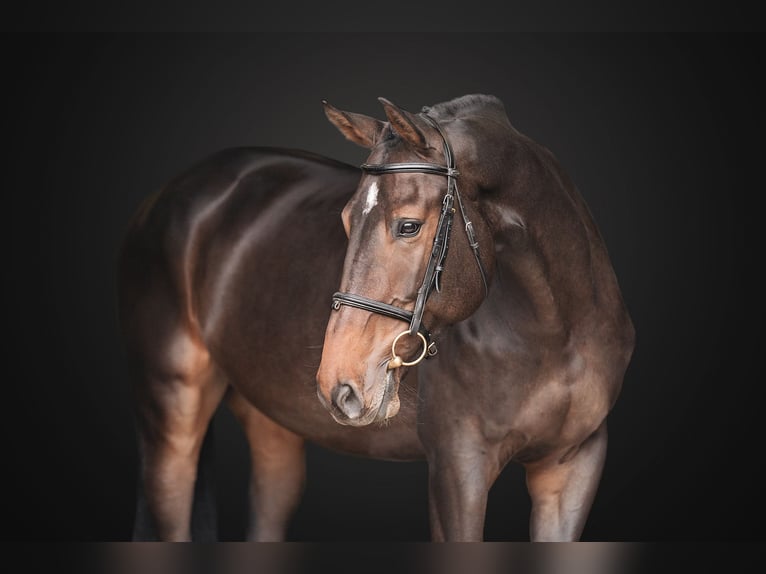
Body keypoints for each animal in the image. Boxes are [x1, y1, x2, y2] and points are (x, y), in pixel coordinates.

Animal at [117, 93, 634, 542]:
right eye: (346, 221)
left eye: (408, 226)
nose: (338, 385)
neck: (556, 331)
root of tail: (166, 194)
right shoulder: (458, 468)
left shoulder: (572, 466)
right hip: (171, 414)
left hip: (272, 423)